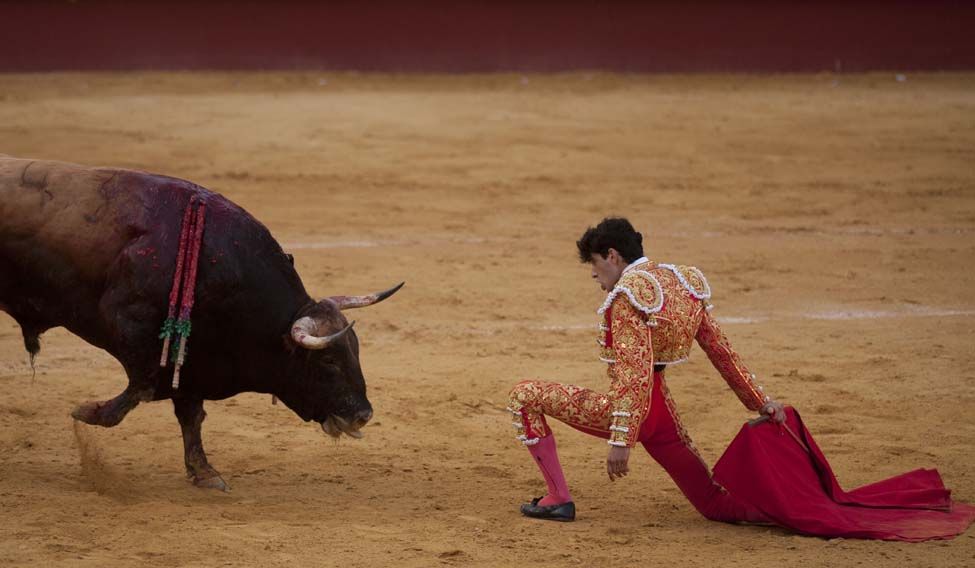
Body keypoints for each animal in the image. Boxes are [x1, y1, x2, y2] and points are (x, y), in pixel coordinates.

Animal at [0, 156, 402, 491]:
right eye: (329, 361)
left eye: (355, 352)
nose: (363, 415)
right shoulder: (131, 328)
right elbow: (141, 391)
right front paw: (86, 411)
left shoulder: (192, 361)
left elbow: (191, 416)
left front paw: (204, 472)